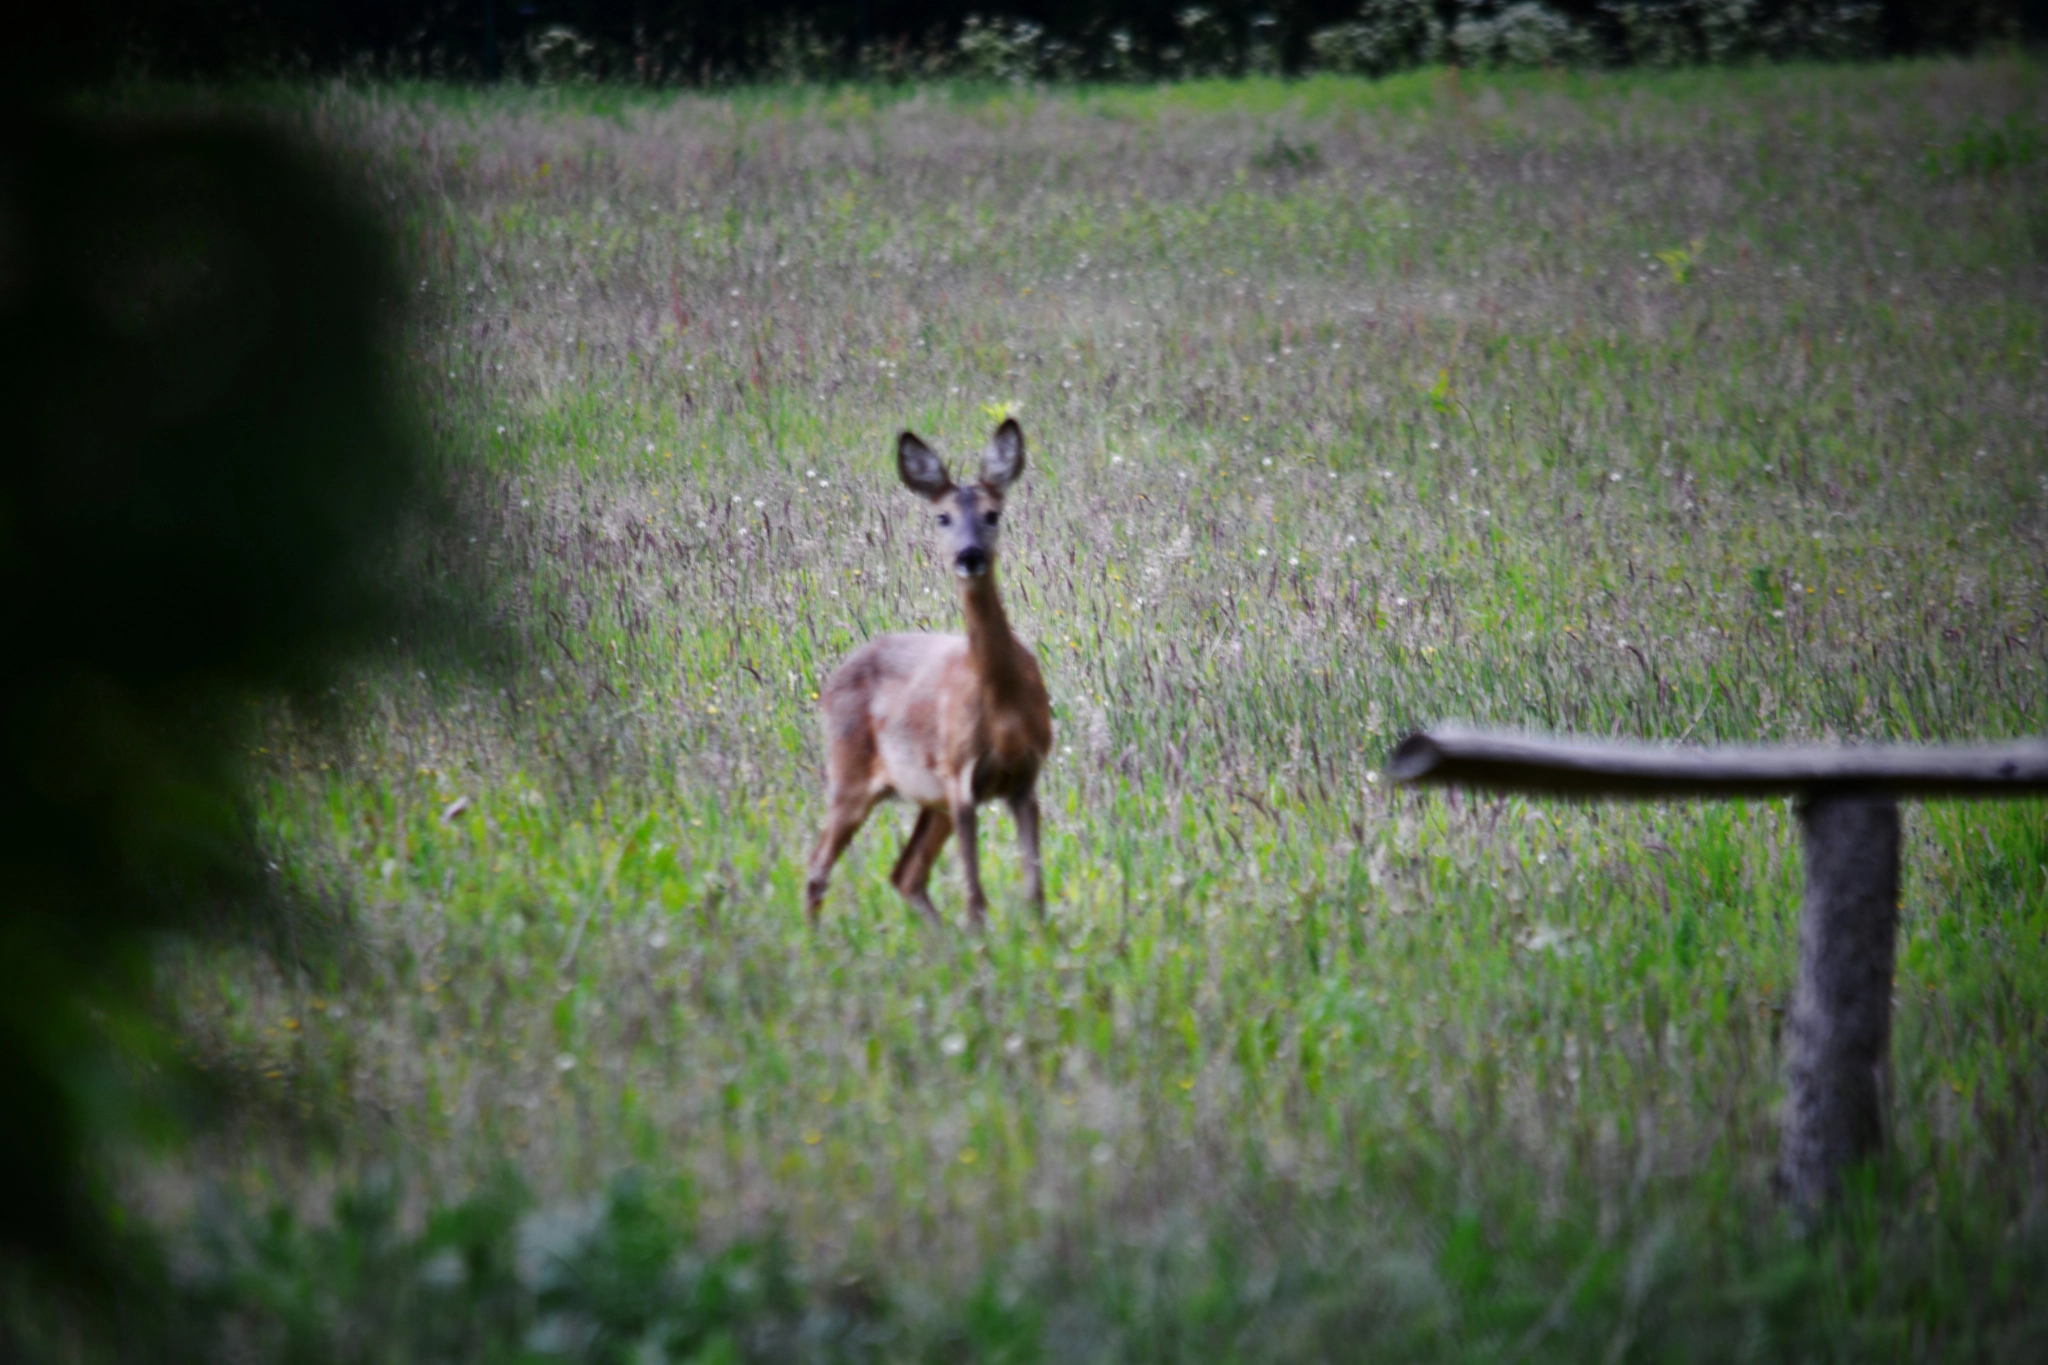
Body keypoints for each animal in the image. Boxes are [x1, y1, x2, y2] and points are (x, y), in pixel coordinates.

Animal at [804, 418, 1053, 929]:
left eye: (993, 513)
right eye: (942, 517)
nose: (970, 555)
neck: (1003, 707)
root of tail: (833, 680)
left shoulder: (1025, 779)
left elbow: (1034, 891)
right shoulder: (959, 776)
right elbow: (976, 898)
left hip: (926, 799)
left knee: (906, 873)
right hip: (849, 775)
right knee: (818, 868)